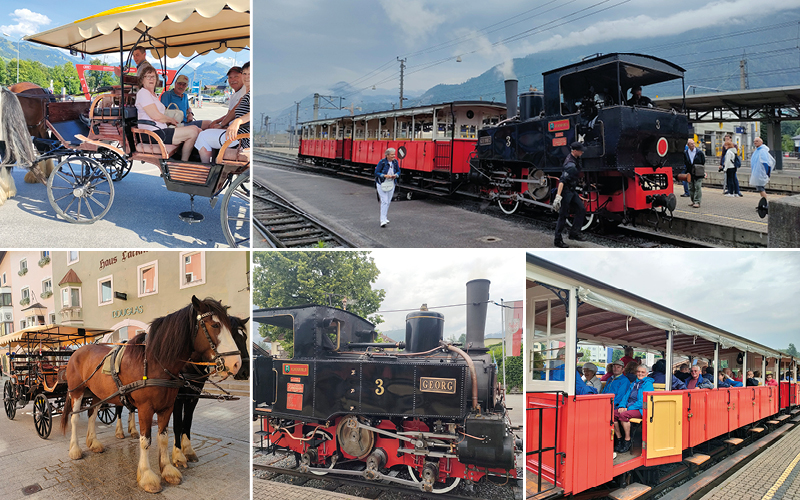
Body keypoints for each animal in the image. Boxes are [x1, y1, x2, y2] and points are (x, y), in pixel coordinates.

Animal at [173, 314, 248, 466]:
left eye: (245, 338)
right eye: (231, 336)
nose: (244, 371)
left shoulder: (193, 396)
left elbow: (187, 421)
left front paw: (187, 450)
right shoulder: (177, 398)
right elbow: (177, 424)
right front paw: (178, 455)